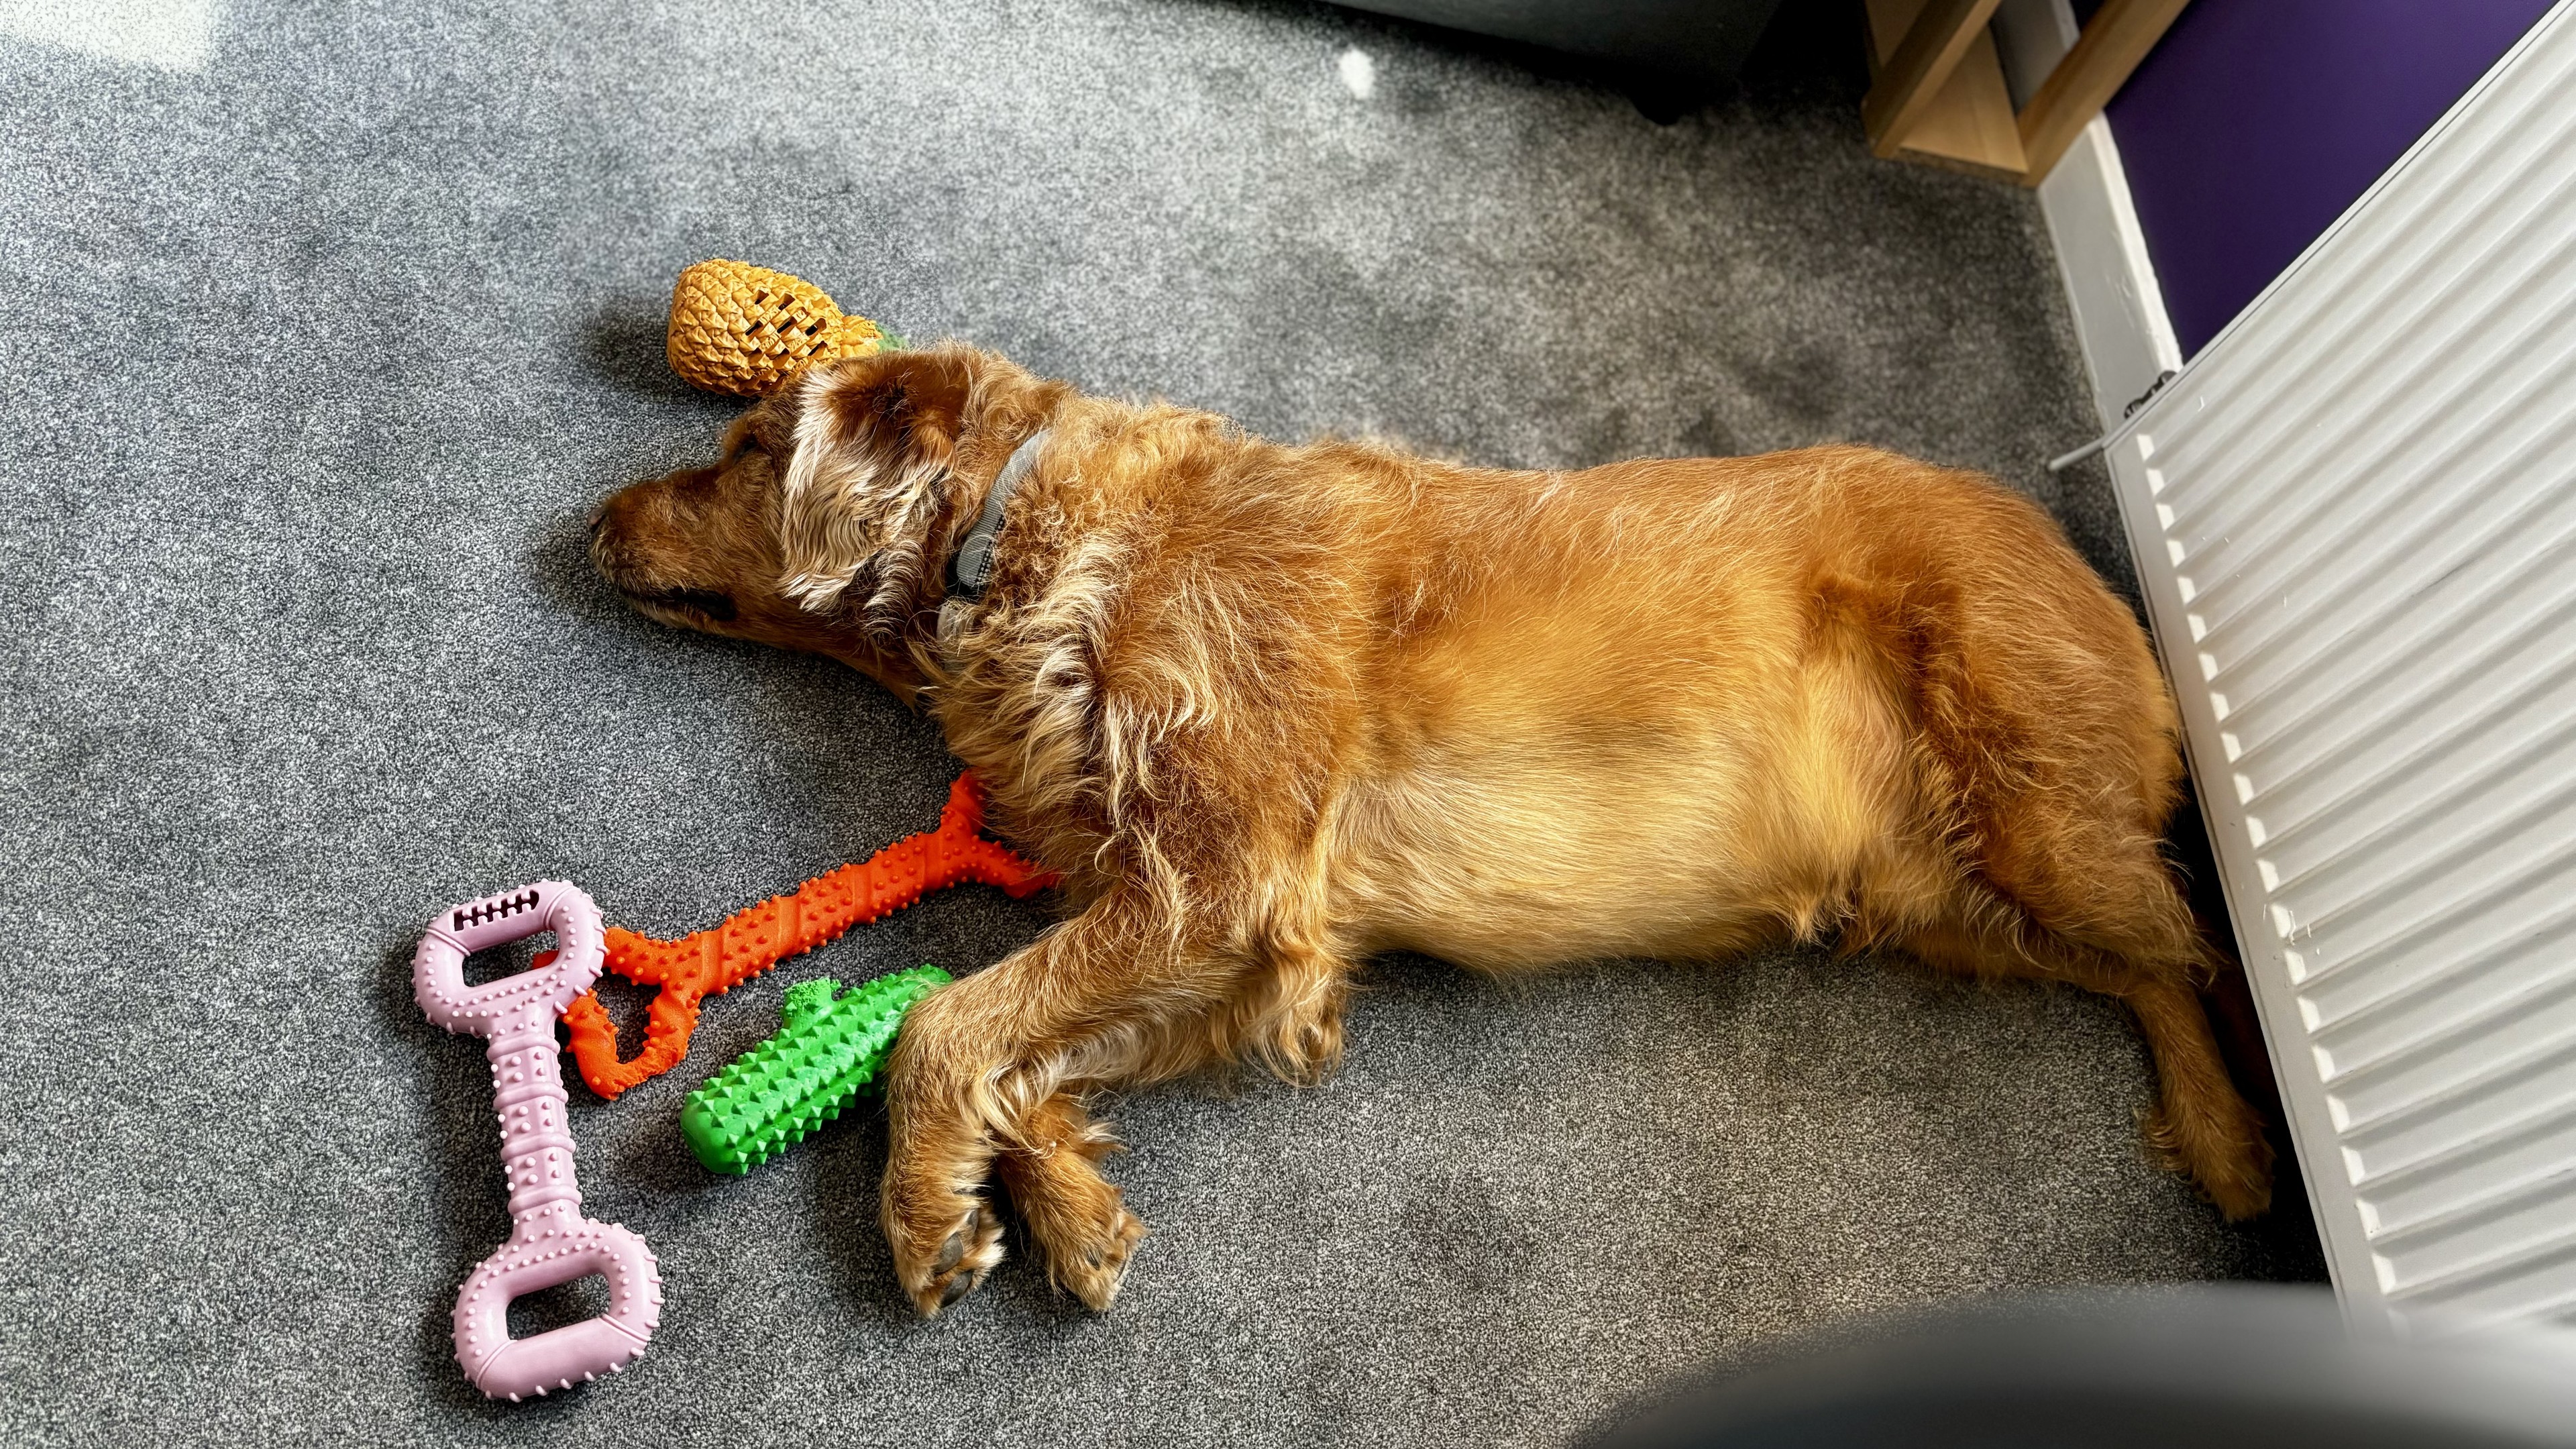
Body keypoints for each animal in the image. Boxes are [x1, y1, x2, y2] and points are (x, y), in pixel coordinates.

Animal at [590, 343, 2277, 1315]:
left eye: (744, 448)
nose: (589, 525)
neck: (1028, 543)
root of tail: (2095, 566)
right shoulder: (1245, 942)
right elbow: (1025, 1037)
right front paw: (1064, 1202)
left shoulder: (1221, 879)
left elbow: (943, 1019)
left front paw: (926, 1207)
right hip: (1950, 895)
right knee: (2142, 965)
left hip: (2032, 818)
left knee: (2190, 952)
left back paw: (2227, 1140)